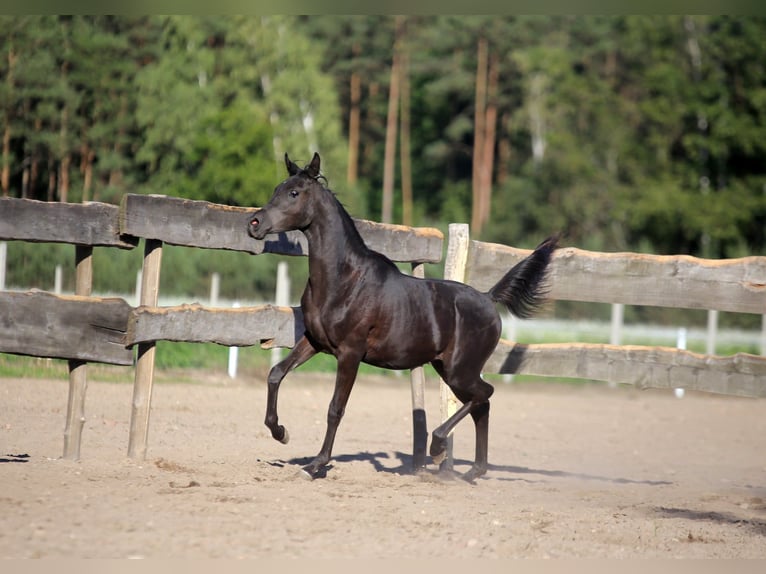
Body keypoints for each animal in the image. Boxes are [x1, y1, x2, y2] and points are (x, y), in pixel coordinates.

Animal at [248, 152, 558, 482]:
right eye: (277, 189)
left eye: (294, 193)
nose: (254, 223)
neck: (343, 281)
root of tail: (489, 298)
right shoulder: (314, 342)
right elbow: (276, 373)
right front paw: (280, 432)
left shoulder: (350, 353)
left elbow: (335, 408)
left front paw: (316, 464)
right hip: (448, 369)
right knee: (480, 405)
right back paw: (473, 470)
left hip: (460, 370)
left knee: (484, 395)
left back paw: (439, 448)